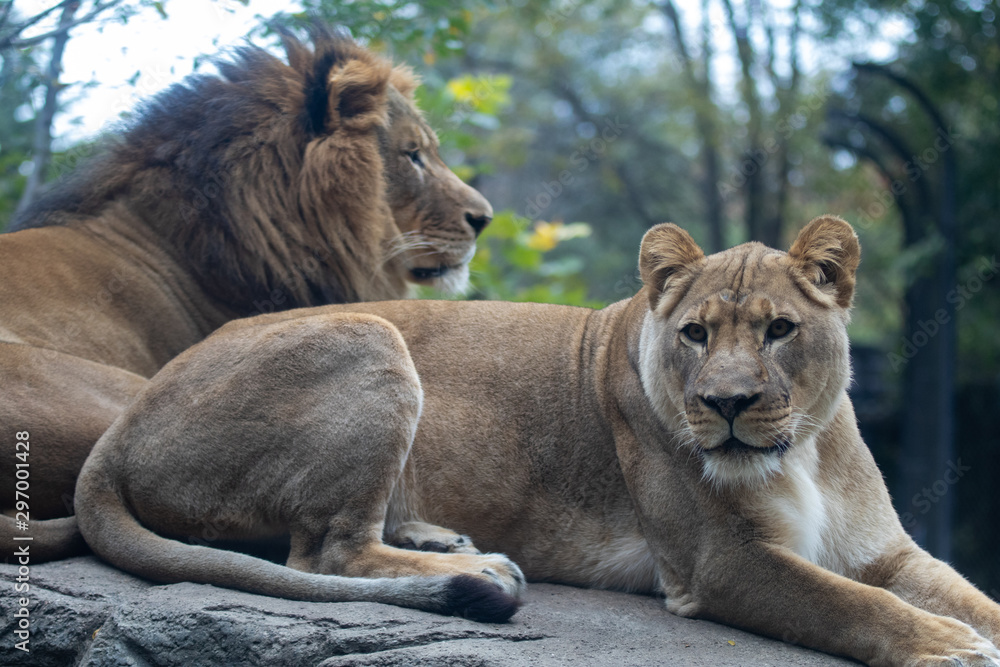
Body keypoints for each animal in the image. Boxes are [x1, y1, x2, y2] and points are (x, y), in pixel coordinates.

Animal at [72, 216, 1000, 660]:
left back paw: (440, 536)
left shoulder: (886, 549)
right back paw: (478, 568)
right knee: (324, 552)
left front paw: (968, 627)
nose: (727, 403)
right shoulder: (717, 562)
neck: (799, 449)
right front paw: (947, 648)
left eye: (779, 330)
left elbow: (961, 593)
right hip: (370, 333)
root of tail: (121, 424)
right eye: (696, 334)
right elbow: (844, 602)